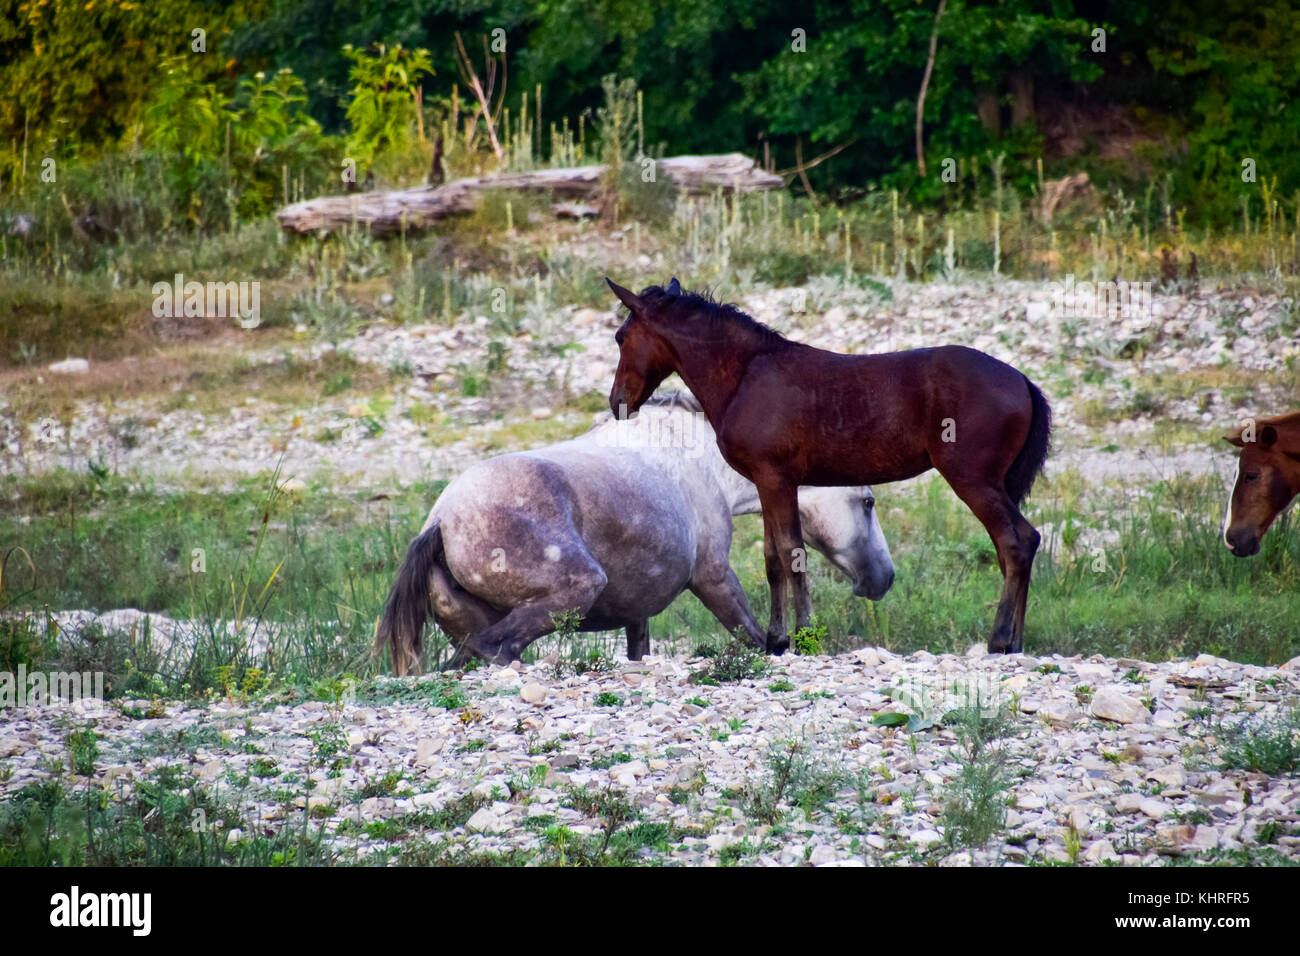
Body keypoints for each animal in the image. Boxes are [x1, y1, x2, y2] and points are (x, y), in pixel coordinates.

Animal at [371, 390, 889, 671]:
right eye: (867, 501)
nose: (884, 578)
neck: (698, 459)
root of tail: (440, 522)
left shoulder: (637, 610)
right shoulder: (713, 578)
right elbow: (754, 638)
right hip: (575, 589)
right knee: (497, 649)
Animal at [608, 277, 1055, 650]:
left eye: (620, 337)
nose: (618, 402)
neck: (745, 375)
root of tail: (1021, 381)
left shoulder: (776, 478)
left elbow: (791, 553)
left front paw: (804, 634)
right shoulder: (768, 484)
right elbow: (773, 558)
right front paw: (778, 639)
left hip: (974, 481)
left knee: (1016, 542)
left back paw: (1001, 639)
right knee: (1021, 544)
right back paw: (1014, 640)